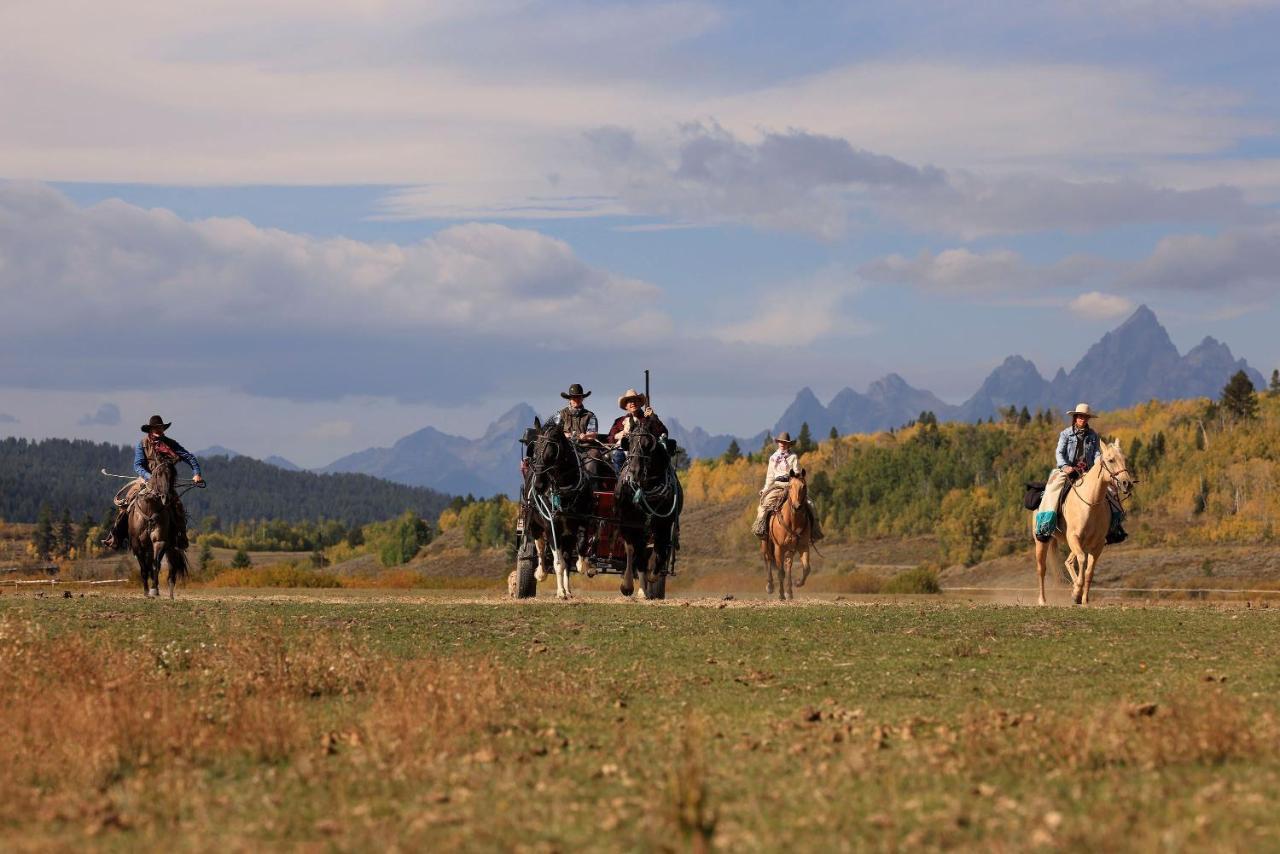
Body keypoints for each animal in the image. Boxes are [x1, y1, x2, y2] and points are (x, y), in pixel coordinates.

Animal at [128, 458, 189, 599]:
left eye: (172, 475)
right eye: (158, 474)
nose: (166, 497)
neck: (149, 509)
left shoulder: (159, 541)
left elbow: (156, 565)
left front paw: (154, 589)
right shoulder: (137, 544)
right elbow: (144, 568)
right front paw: (146, 592)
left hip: (172, 548)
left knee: (172, 570)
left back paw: (171, 595)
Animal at [614, 422, 686, 601]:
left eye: (649, 445)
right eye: (630, 443)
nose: (635, 471)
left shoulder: (664, 523)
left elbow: (660, 549)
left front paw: (653, 575)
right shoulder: (631, 523)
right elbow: (635, 553)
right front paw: (632, 587)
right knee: (633, 551)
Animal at [757, 471, 808, 604]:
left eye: (804, 486)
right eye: (790, 486)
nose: (797, 506)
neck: (792, 521)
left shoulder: (800, 546)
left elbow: (804, 568)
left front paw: (794, 587)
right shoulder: (779, 548)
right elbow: (781, 572)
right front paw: (781, 595)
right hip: (765, 543)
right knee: (768, 559)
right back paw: (770, 586)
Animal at [1034, 440, 1136, 606]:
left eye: (1124, 459)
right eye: (1110, 460)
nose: (1127, 483)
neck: (1090, 503)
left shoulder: (1098, 544)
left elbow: (1089, 572)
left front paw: (1083, 599)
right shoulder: (1074, 538)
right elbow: (1082, 559)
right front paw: (1076, 593)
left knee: (1068, 562)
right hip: (1041, 540)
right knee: (1042, 568)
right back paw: (1042, 600)